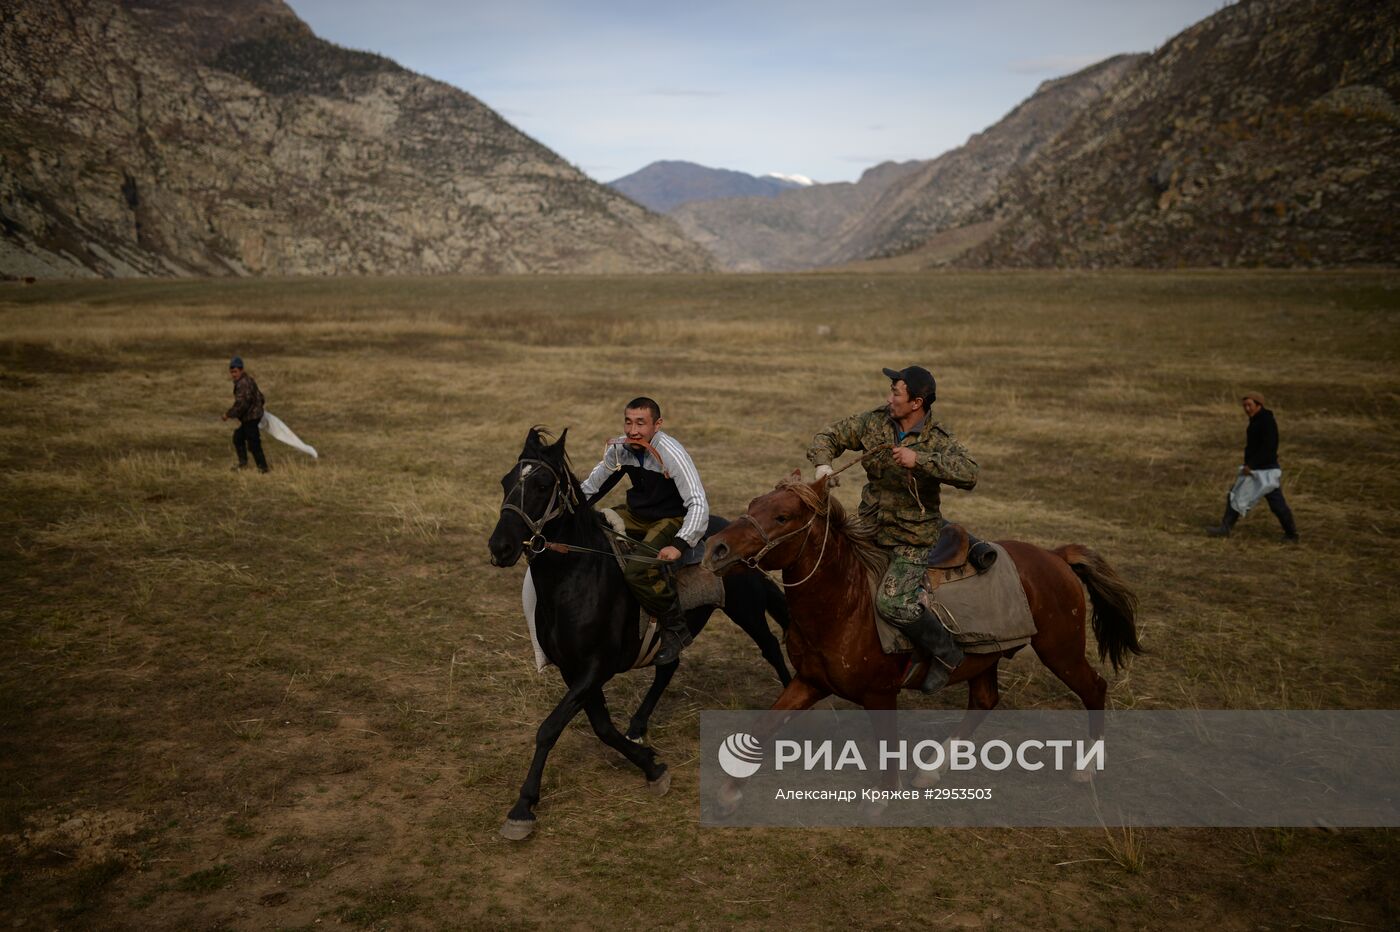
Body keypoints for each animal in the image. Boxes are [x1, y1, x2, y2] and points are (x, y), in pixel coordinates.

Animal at [487, 425, 795, 839]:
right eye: (506, 481)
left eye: (541, 485)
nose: (499, 547)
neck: (578, 577)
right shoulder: (574, 671)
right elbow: (602, 727)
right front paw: (651, 764)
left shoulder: (595, 667)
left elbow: (550, 728)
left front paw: (522, 807)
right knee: (669, 664)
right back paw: (638, 725)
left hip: (746, 609)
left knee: (771, 648)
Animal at [705, 472, 1142, 811]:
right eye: (753, 503)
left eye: (783, 515)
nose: (715, 548)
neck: (846, 603)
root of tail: (1055, 555)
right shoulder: (810, 681)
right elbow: (765, 726)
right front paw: (728, 792)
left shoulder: (880, 694)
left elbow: (887, 745)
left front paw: (882, 799)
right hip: (986, 659)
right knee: (984, 701)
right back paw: (931, 770)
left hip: (1060, 650)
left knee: (1094, 688)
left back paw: (1085, 769)